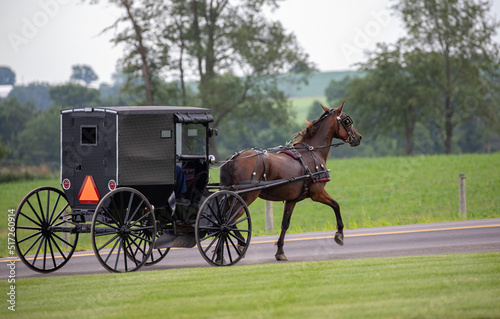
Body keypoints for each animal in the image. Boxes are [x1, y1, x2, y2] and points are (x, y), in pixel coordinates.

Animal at [221, 104, 362, 262]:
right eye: (347, 121)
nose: (358, 137)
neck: (313, 152)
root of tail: (234, 158)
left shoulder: (292, 199)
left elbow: (285, 224)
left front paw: (280, 251)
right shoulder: (317, 193)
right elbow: (336, 205)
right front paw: (339, 234)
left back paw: (222, 255)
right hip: (247, 196)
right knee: (229, 221)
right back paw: (240, 245)